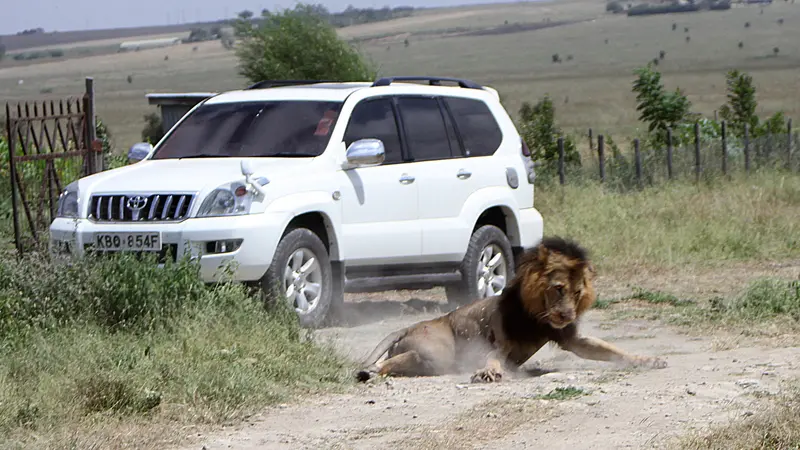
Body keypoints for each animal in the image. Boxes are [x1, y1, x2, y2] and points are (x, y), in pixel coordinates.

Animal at [358, 236, 668, 384]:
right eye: (558, 288)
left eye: (578, 292)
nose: (567, 315)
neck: (539, 316)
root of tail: (407, 326)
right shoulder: (500, 341)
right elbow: (493, 358)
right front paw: (488, 373)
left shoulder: (571, 338)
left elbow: (612, 351)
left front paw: (649, 360)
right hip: (437, 351)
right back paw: (371, 370)